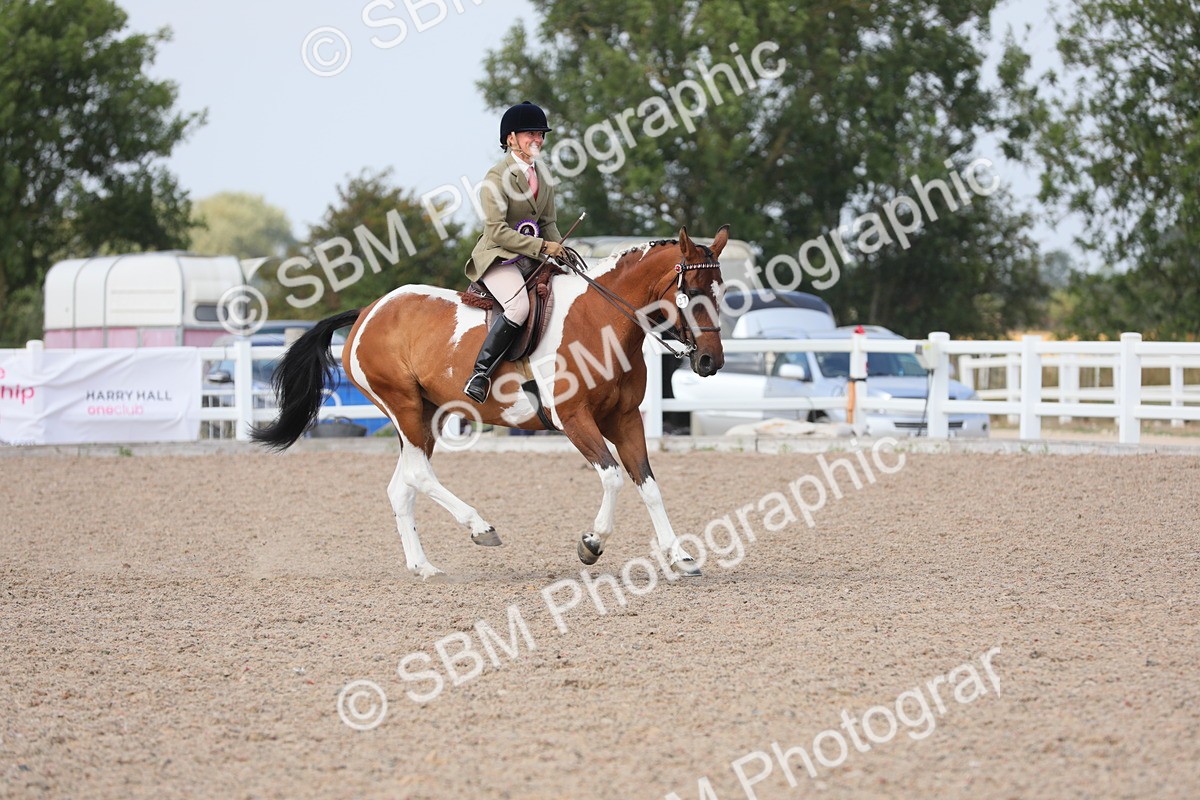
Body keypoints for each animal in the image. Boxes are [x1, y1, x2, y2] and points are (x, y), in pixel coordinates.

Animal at [251, 225, 729, 579]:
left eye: (722, 292)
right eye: (691, 293)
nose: (710, 361)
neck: (602, 320)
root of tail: (369, 310)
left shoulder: (626, 420)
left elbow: (649, 486)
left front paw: (680, 557)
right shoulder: (575, 419)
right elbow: (612, 478)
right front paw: (591, 545)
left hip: (427, 414)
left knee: (402, 486)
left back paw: (424, 567)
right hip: (404, 407)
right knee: (419, 475)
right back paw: (480, 528)